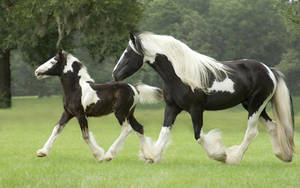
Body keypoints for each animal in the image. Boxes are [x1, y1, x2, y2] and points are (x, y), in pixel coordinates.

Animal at [34, 50, 164, 162]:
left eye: (53, 61)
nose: (37, 72)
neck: (76, 89)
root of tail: (134, 88)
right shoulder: (68, 113)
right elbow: (57, 129)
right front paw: (42, 152)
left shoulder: (80, 114)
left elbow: (86, 135)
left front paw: (99, 155)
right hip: (130, 113)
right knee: (139, 128)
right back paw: (149, 156)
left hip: (120, 113)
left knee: (127, 129)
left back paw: (109, 155)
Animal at [112, 32, 296, 164]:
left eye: (128, 53)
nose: (115, 74)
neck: (179, 74)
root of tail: (269, 70)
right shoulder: (172, 107)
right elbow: (164, 132)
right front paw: (152, 156)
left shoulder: (196, 109)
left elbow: (198, 135)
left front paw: (220, 155)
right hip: (253, 105)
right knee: (272, 126)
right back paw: (283, 155)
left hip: (256, 105)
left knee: (252, 132)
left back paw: (234, 158)